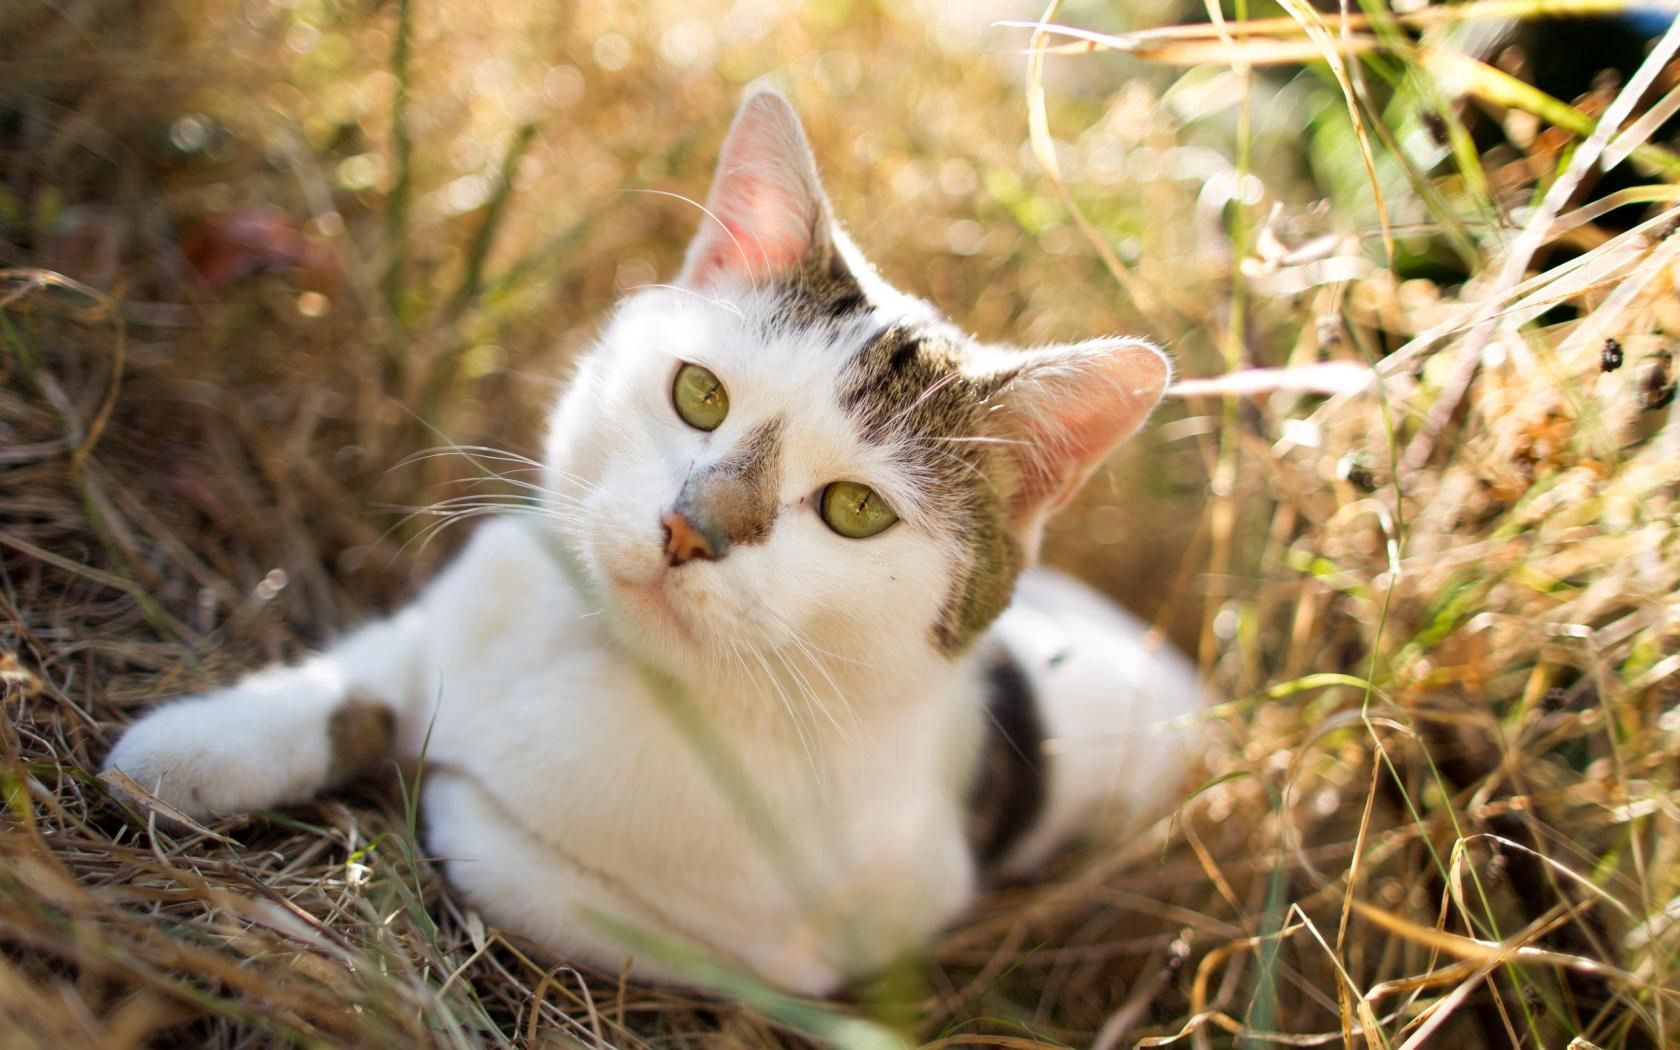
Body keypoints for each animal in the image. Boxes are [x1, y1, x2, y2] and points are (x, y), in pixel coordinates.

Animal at [101, 88, 1209, 987]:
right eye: (700, 395)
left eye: (855, 511)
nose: (690, 528)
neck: (615, 662)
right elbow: (351, 682)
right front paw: (192, 749)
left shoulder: (802, 953)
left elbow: (520, 865)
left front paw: (448, 791)